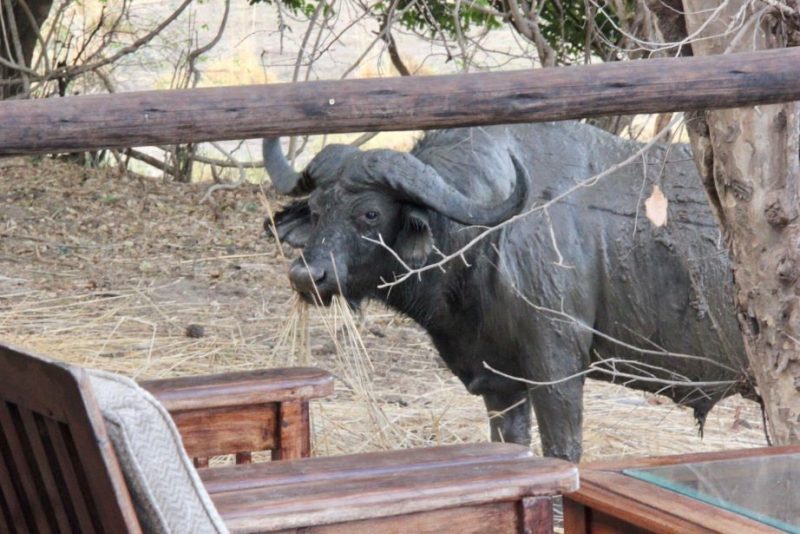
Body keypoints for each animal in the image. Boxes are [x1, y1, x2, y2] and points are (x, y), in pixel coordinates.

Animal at [262, 123, 756, 462]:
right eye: (318, 209)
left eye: (369, 213)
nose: (307, 275)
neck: (487, 239)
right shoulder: (501, 383)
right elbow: (511, 444)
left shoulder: (557, 370)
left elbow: (562, 450)